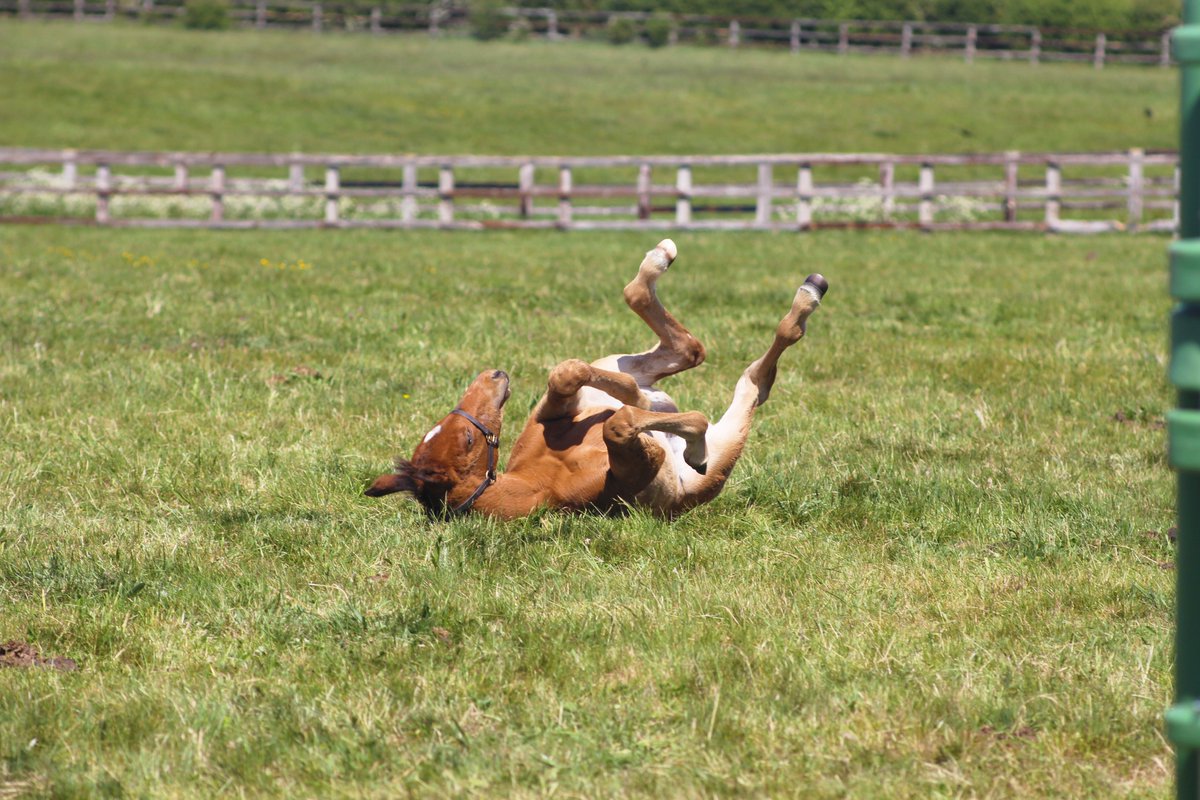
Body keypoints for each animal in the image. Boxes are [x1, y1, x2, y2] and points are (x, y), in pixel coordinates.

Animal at [365, 239, 827, 519]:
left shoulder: (550, 411)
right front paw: (677, 429)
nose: (492, 375)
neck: (541, 480)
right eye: (466, 440)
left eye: (448, 429)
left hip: (619, 360)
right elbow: (622, 424)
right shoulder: (632, 472)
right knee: (754, 381)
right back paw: (807, 296)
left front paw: (630, 395)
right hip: (720, 455)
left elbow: (566, 374)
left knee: (680, 343)